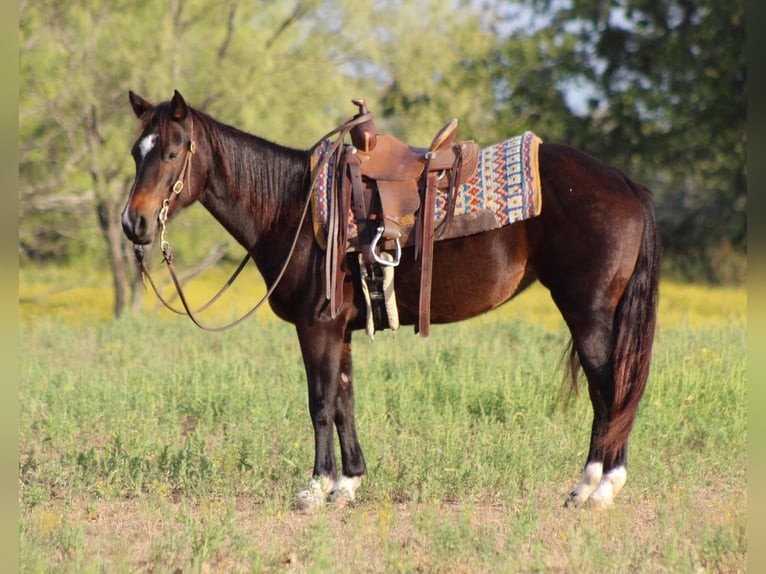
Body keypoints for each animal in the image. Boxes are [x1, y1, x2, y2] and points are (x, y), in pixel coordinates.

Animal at [121, 90, 659, 509]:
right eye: (135, 151)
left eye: (172, 152)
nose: (134, 224)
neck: (292, 208)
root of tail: (625, 182)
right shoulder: (339, 331)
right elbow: (344, 400)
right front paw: (347, 483)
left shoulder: (316, 328)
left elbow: (320, 403)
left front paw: (314, 488)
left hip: (588, 314)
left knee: (609, 391)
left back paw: (597, 487)